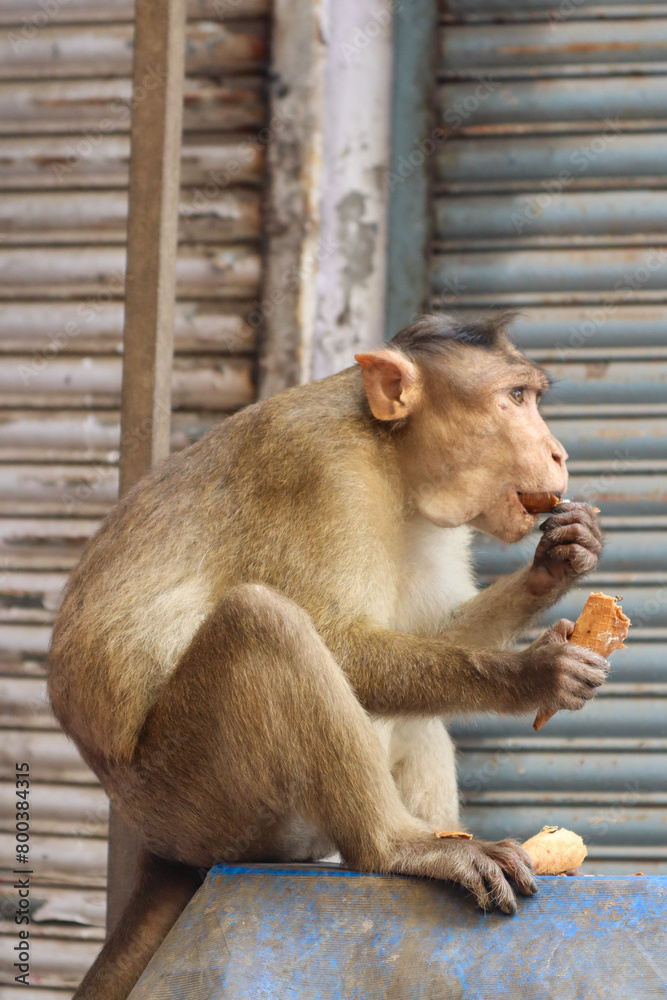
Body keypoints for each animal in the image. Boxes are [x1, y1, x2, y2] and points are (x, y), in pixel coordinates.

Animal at [47, 314, 606, 999]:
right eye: (515, 398)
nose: (559, 454)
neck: (391, 457)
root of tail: (159, 843)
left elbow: (436, 634)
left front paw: (557, 563)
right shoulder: (320, 472)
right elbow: (335, 637)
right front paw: (533, 673)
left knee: (416, 712)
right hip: (193, 802)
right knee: (265, 624)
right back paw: (398, 849)